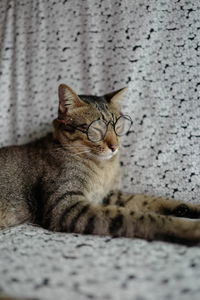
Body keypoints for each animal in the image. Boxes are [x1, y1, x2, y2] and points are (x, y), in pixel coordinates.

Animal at [0, 83, 200, 245]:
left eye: (118, 127)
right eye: (96, 129)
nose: (115, 147)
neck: (103, 168)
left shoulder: (108, 195)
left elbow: (148, 200)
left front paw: (190, 209)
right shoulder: (66, 207)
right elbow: (138, 217)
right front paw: (189, 227)